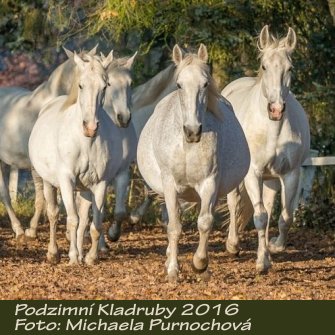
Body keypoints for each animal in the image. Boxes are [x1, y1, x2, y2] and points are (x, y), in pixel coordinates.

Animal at [0, 46, 97, 242]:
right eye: (81, 82)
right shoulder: (37, 166)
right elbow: (42, 199)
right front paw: (32, 230)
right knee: (5, 193)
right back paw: (18, 229)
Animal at [28, 51, 135, 266]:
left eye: (105, 85)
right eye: (80, 85)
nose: (90, 127)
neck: (85, 143)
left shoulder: (101, 183)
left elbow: (94, 223)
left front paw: (91, 257)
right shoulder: (67, 180)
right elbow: (72, 220)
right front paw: (72, 258)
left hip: (85, 188)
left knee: (84, 218)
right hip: (49, 182)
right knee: (53, 214)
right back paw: (53, 253)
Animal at [138, 44, 251, 280]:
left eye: (205, 84)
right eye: (179, 84)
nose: (192, 131)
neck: (186, 146)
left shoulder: (210, 183)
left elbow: (205, 222)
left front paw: (199, 263)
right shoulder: (170, 184)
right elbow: (174, 226)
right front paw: (173, 270)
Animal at [222, 25, 312, 272]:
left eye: (290, 68)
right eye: (264, 66)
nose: (276, 109)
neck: (272, 130)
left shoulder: (290, 174)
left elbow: (285, 217)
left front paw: (274, 247)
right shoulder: (252, 173)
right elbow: (260, 216)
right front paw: (262, 262)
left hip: (270, 178)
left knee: (270, 207)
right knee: (234, 203)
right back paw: (232, 245)